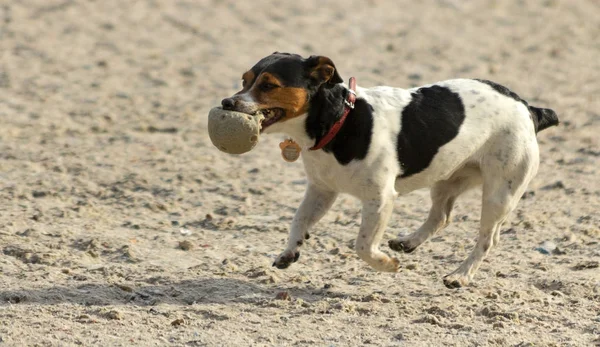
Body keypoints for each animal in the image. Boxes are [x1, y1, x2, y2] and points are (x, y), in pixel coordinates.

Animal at [219, 52, 556, 288]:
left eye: (268, 85)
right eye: (244, 81)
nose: (226, 102)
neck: (339, 121)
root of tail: (529, 109)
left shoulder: (380, 199)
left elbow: (362, 245)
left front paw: (386, 264)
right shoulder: (321, 190)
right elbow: (298, 221)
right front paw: (289, 252)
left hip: (500, 194)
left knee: (487, 240)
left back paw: (459, 275)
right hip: (446, 178)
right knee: (441, 217)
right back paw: (409, 242)